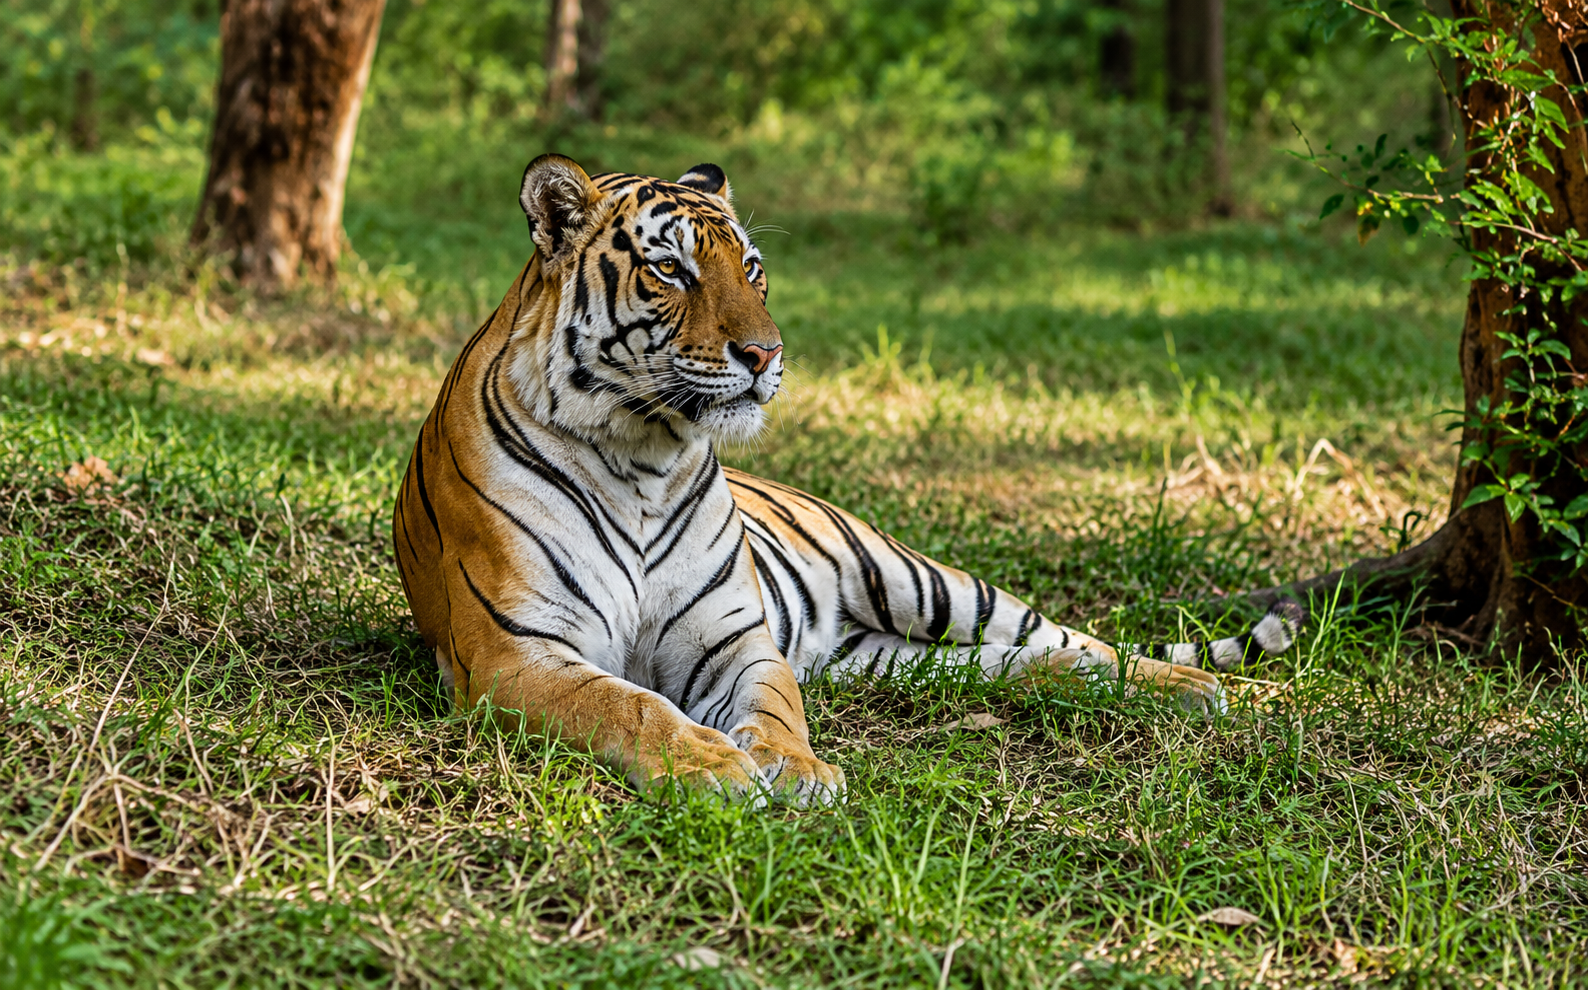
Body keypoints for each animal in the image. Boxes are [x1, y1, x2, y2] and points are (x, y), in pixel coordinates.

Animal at [392, 154, 1305, 808]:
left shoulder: (734, 637)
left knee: (1078, 641)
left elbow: (773, 706)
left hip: (926, 582)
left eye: (752, 269)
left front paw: (795, 770)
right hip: (892, 657)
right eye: (673, 271)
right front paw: (711, 766)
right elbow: (627, 703)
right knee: (1014, 660)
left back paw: (1216, 692)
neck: (643, 455)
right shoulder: (515, 651)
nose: (765, 354)